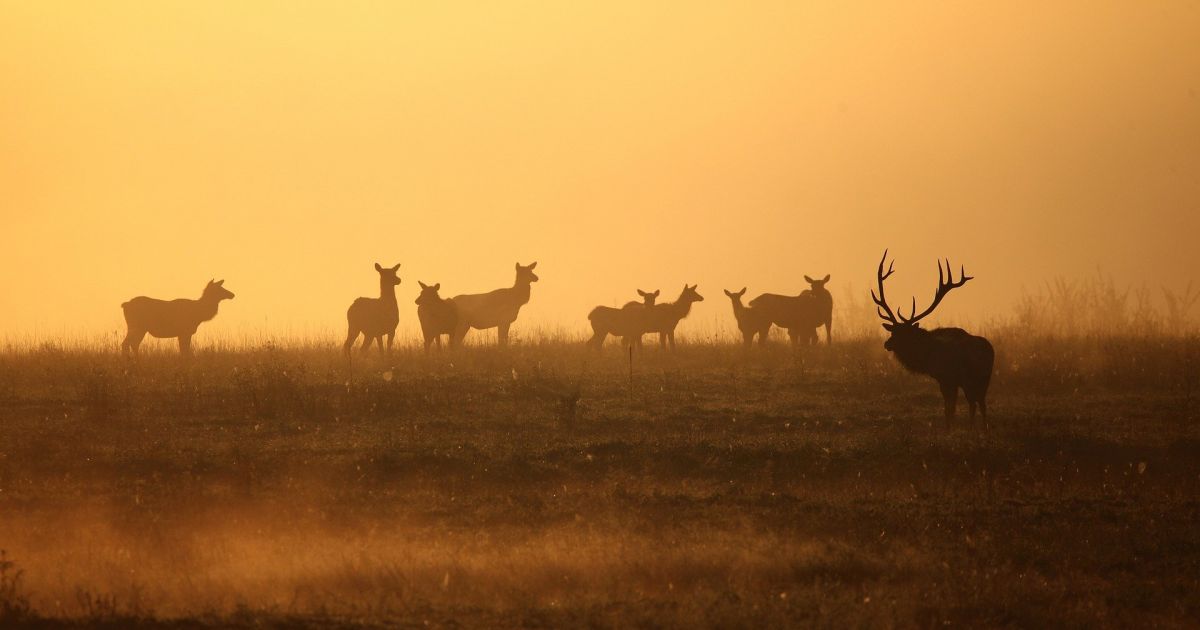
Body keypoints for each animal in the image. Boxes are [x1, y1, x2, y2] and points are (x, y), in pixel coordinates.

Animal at [873, 248, 993, 420]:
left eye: (904, 334)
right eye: (893, 331)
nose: (887, 344)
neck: (926, 355)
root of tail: (989, 351)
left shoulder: (945, 378)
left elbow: (949, 409)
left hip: (970, 378)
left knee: (974, 403)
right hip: (984, 378)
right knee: (981, 404)